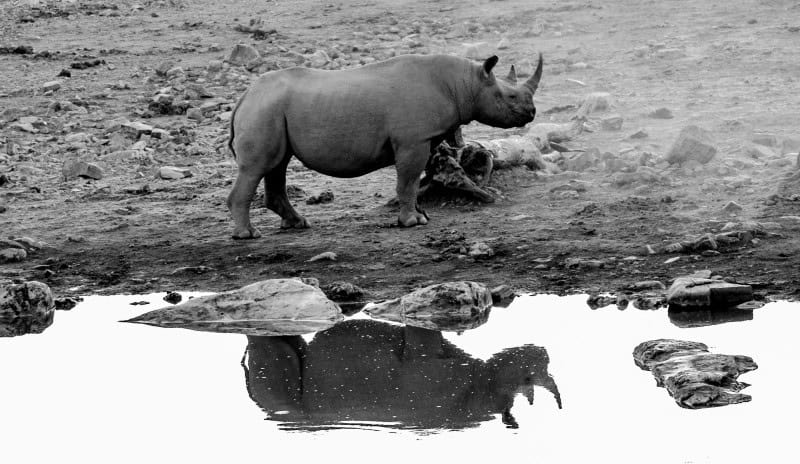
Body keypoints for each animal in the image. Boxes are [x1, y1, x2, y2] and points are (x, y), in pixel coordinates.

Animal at [227, 53, 543, 238]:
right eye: (510, 97)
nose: (531, 113)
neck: (465, 83)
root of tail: (244, 97)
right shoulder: (413, 140)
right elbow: (407, 181)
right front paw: (411, 222)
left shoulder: (424, 139)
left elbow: (415, 180)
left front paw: (421, 216)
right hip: (264, 110)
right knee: (258, 167)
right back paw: (248, 235)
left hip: (271, 109)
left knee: (277, 164)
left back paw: (297, 224)